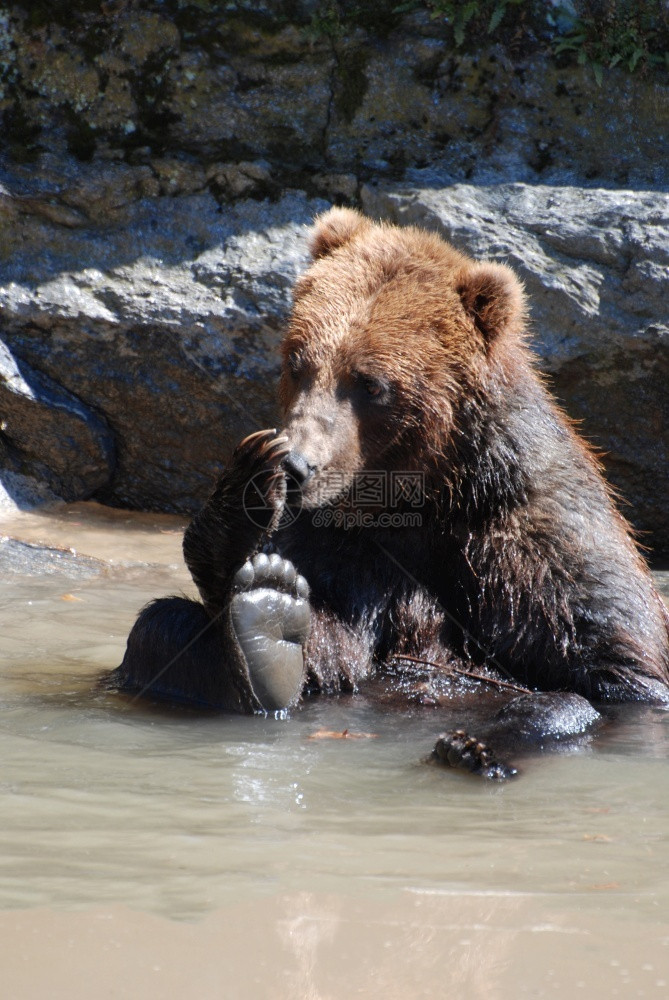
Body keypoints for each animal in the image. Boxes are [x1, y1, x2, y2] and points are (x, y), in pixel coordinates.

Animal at [108, 207, 668, 776]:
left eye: (370, 382)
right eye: (297, 361)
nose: (295, 464)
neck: (423, 490)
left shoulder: (535, 533)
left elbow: (613, 674)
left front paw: (479, 741)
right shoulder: (339, 543)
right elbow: (329, 642)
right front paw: (252, 557)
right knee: (162, 628)